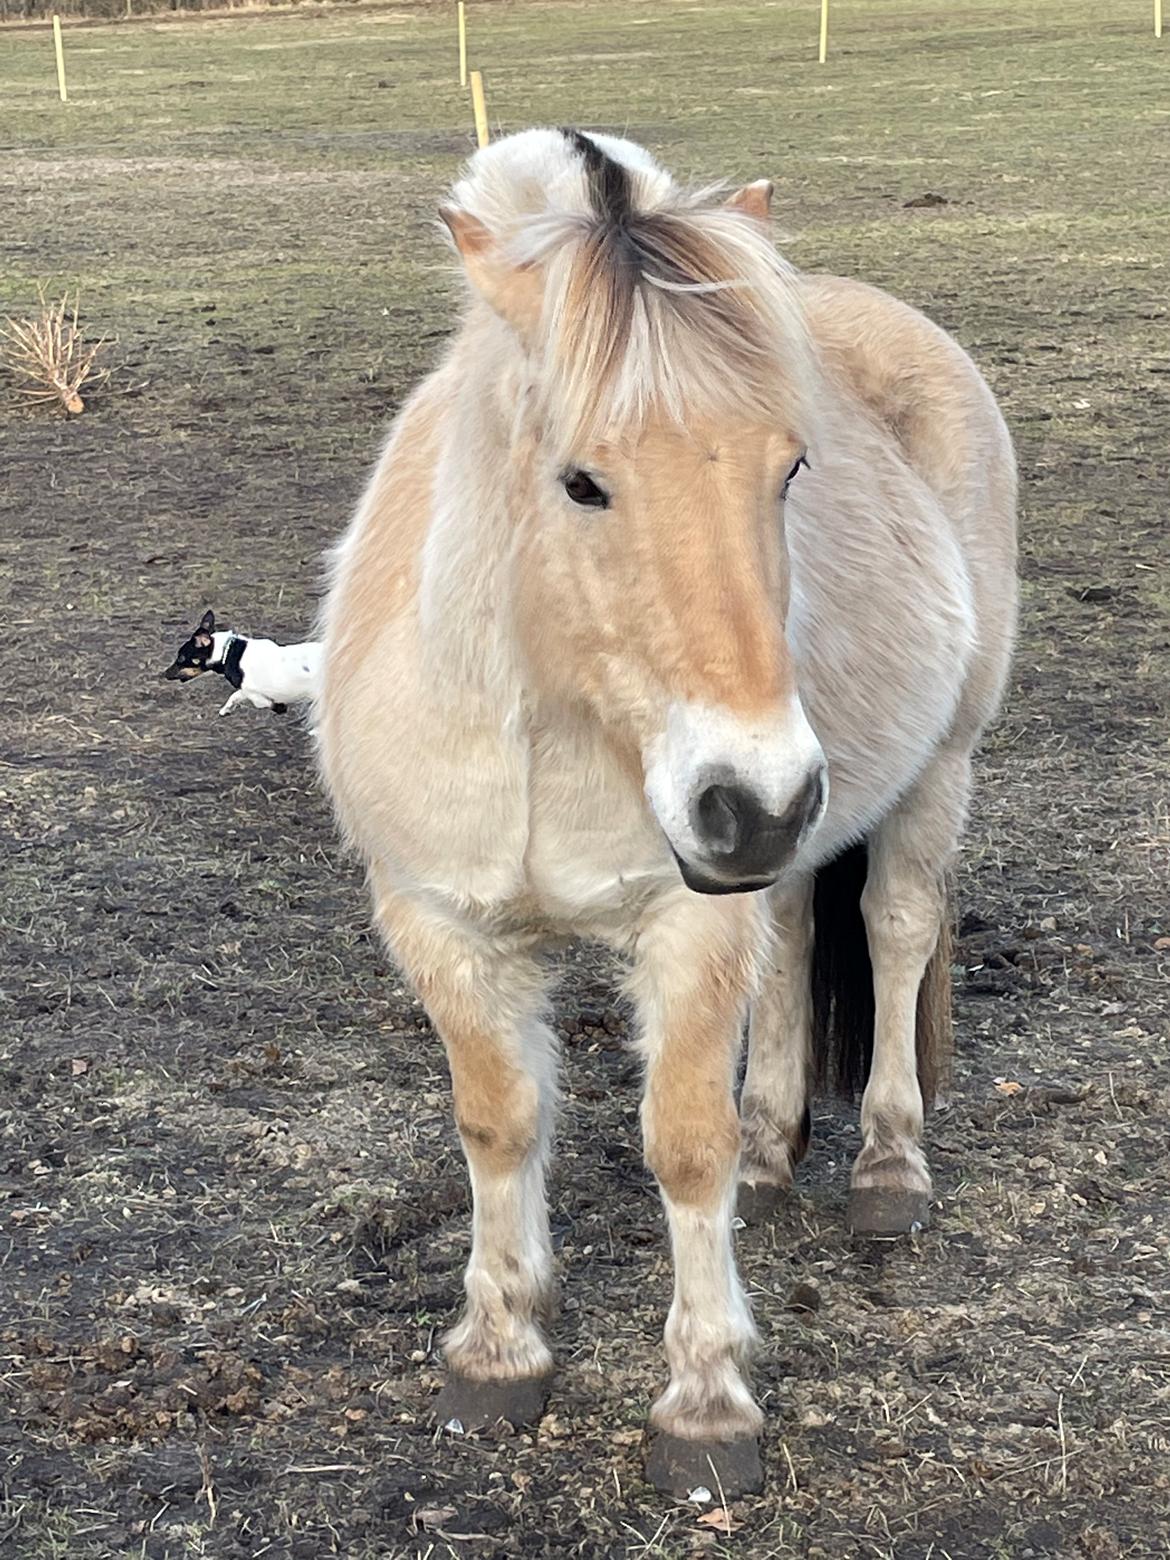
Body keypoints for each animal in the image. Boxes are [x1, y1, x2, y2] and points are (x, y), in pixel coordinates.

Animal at [163, 605, 321, 714]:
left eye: (181, 657)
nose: (164, 673)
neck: (227, 652)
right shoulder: (247, 691)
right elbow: (235, 695)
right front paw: (226, 709)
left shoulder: (254, 693)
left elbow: (253, 699)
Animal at [318, 127, 1017, 1491]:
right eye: (581, 483)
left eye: (792, 469)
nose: (758, 796)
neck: (552, 721)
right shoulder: (441, 923)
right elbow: (499, 1123)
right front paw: (499, 1348)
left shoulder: (686, 926)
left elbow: (682, 1143)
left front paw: (705, 1402)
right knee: (795, 940)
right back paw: (775, 1147)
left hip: (932, 771)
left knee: (897, 933)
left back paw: (887, 1169)